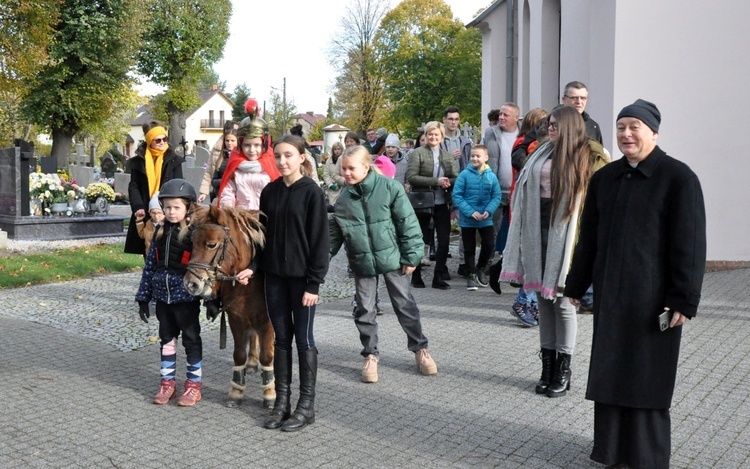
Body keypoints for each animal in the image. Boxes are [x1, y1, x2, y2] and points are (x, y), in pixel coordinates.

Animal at [185, 204, 276, 406]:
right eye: (192, 242)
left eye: (211, 244)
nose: (191, 284)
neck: (248, 284)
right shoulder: (236, 319)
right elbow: (239, 353)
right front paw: (236, 390)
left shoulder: (268, 322)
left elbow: (267, 356)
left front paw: (269, 392)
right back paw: (252, 364)